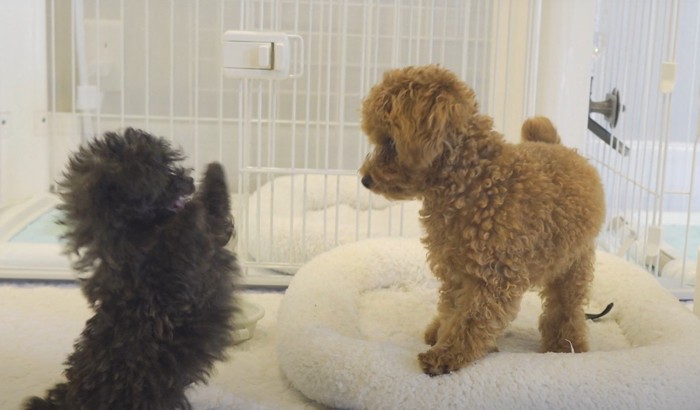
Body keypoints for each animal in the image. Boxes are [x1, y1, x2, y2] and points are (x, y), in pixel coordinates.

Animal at [24, 128, 239, 410]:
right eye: (160, 177)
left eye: (170, 166)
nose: (189, 180)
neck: (141, 230)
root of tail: (71, 398)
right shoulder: (176, 278)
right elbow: (184, 235)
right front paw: (191, 208)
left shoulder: (211, 238)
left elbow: (216, 207)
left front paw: (214, 170)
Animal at [358, 65, 604, 376]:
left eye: (390, 141)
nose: (365, 179)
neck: (474, 182)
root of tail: (558, 147)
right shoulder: (456, 270)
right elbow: (453, 308)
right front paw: (441, 334)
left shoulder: (495, 276)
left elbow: (472, 319)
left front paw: (446, 355)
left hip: (575, 261)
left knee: (566, 307)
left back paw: (566, 346)